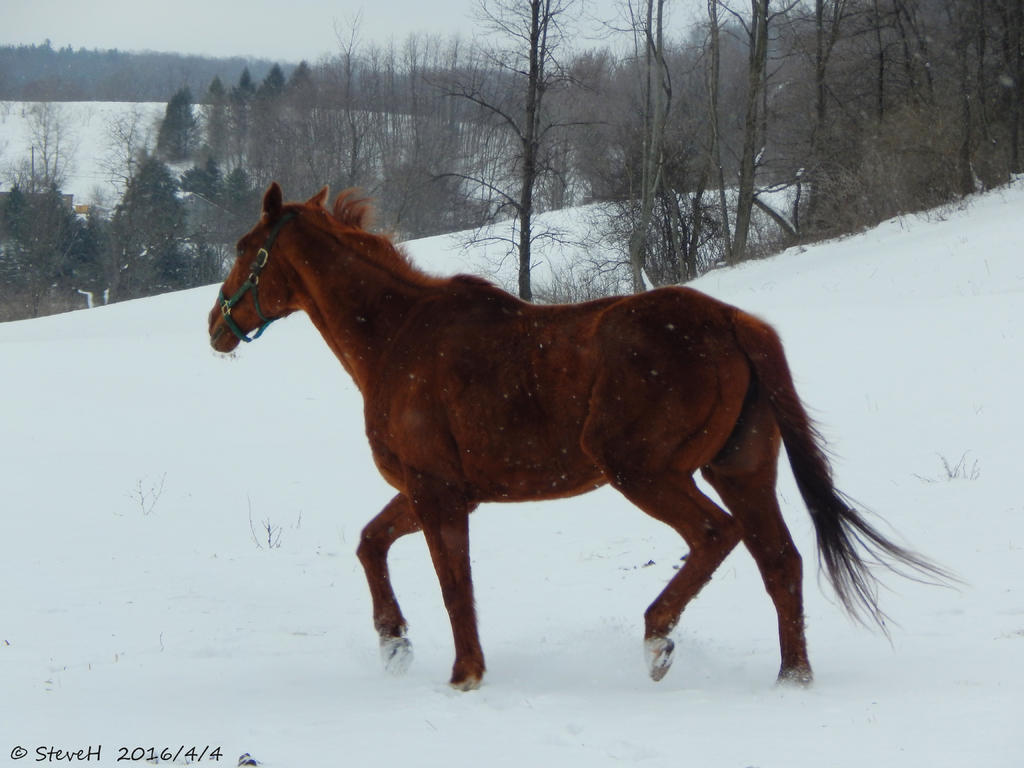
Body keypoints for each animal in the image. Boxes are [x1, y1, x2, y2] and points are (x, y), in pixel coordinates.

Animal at [209, 183, 947, 691]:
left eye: (246, 250)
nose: (216, 325)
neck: (399, 338)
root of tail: (730, 320)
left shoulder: (437, 493)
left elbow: (454, 585)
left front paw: (464, 674)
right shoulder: (435, 491)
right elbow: (371, 545)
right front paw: (394, 643)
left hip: (645, 471)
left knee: (716, 536)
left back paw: (658, 639)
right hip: (740, 470)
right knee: (781, 562)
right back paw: (792, 676)